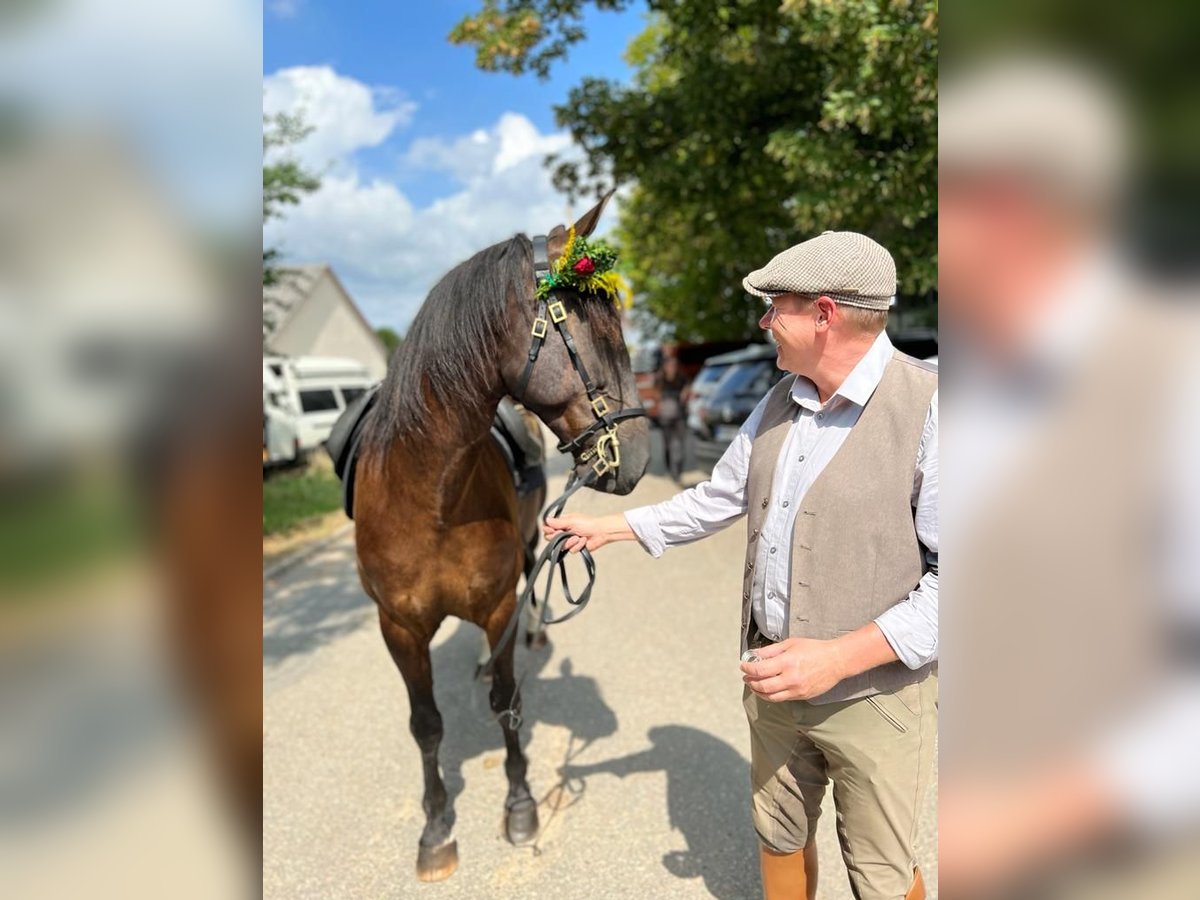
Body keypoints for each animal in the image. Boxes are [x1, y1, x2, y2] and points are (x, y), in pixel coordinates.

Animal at [350, 196, 652, 883]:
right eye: (597, 335)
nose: (639, 457)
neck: (428, 499)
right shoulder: (397, 628)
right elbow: (427, 726)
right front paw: (436, 828)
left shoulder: (494, 608)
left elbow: (506, 700)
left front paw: (519, 806)